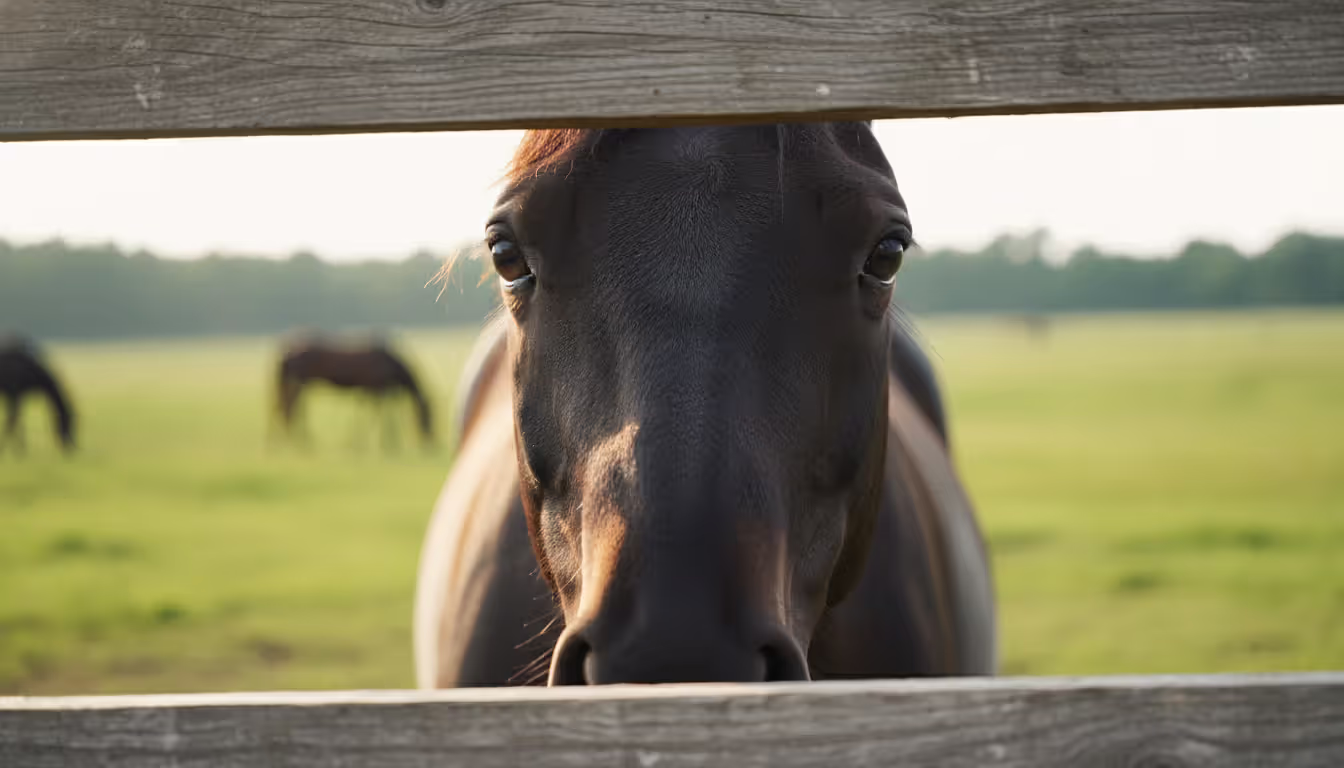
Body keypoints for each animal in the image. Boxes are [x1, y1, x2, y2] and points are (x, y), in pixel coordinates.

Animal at [273, 335, 433, 448]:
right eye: (428, 416)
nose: (431, 443)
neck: (391, 363)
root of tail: (288, 350)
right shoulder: (378, 390)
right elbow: (380, 414)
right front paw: (387, 445)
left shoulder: (370, 390)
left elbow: (369, 413)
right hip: (299, 382)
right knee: (292, 409)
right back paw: (302, 442)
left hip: (295, 383)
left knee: (286, 408)